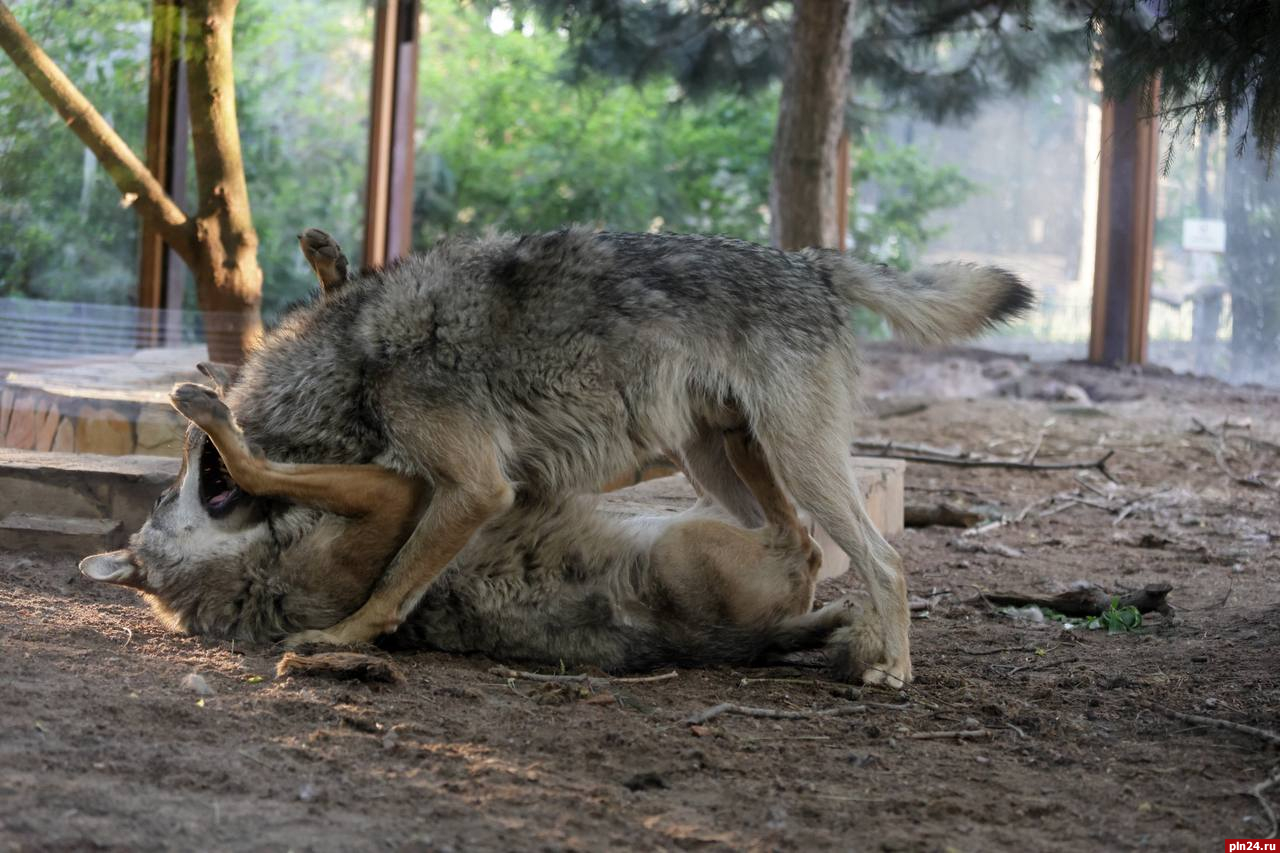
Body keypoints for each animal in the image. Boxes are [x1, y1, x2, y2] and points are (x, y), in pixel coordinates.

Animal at [87, 227, 1029, 686]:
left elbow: (388, 584)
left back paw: (893, 669)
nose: (186, 453)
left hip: (790, 462)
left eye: (183, 472)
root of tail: (810, 261)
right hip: (719, 460)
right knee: (803, 548)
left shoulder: (472, 489)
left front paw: (337, 637)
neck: (359, 362)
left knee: (882, 560)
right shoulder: (441, 486)